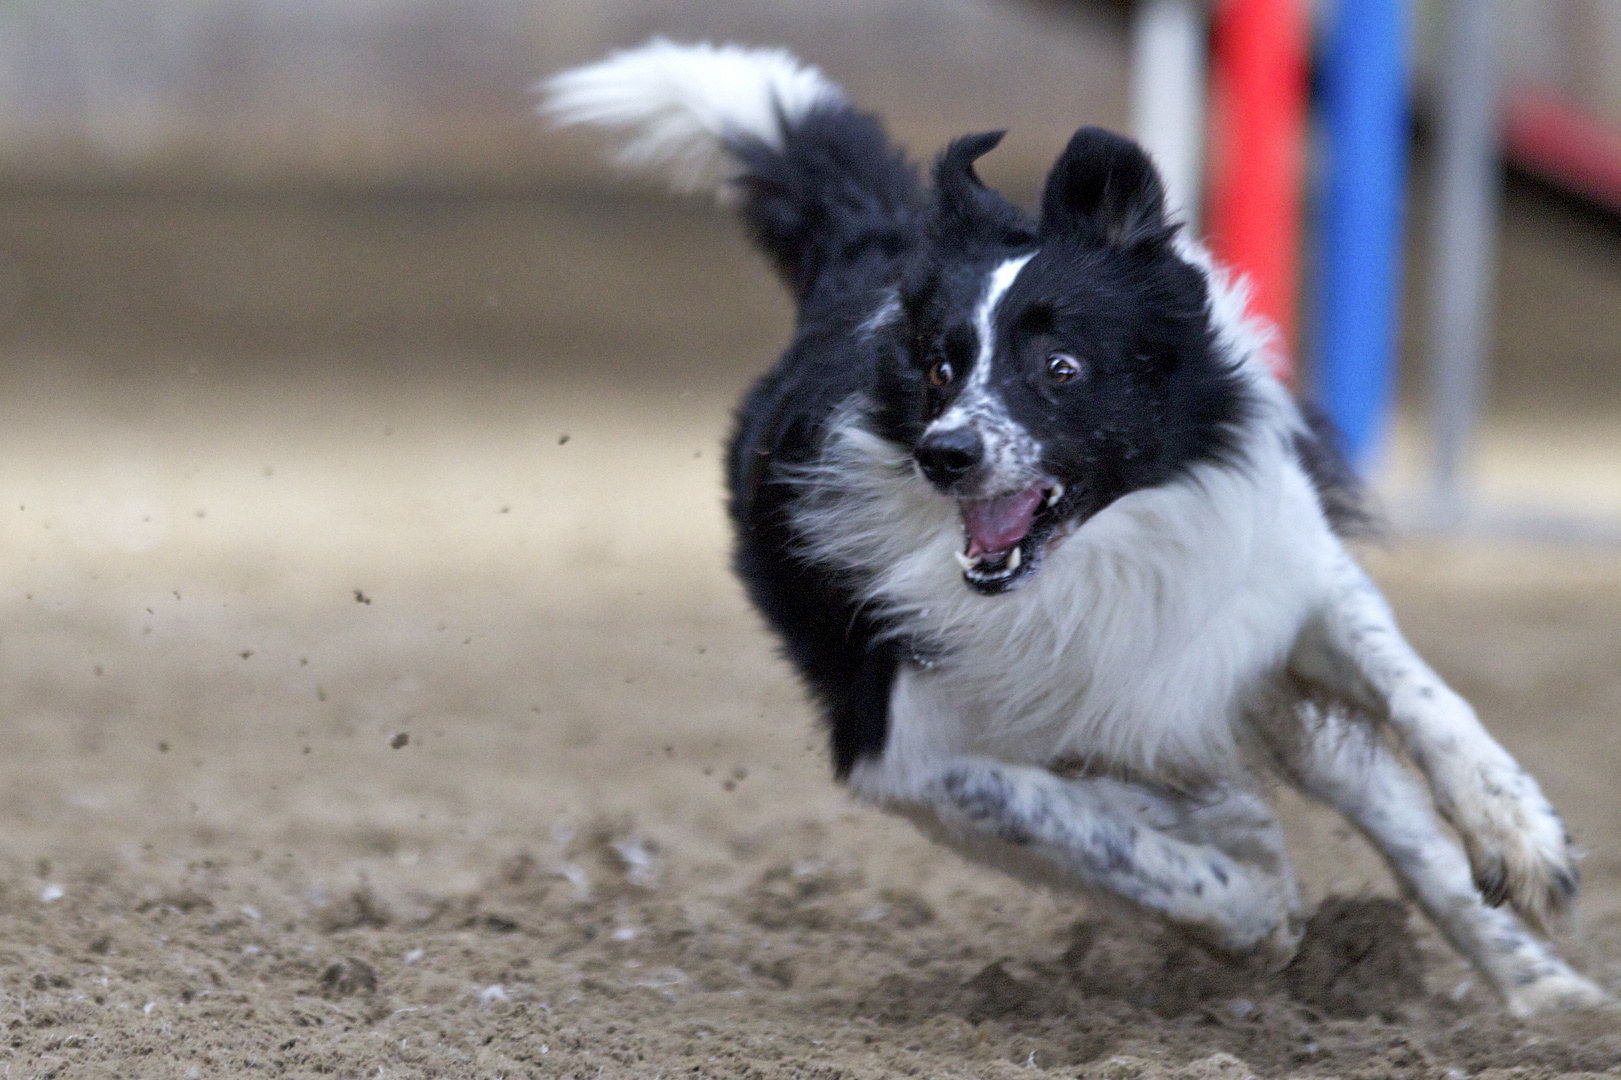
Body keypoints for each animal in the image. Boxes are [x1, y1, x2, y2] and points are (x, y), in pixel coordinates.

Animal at [541, 39, 1595, 1011]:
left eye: (1060, 368)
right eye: (938, 366)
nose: (944, 455)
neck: (1095, 559)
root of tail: (873, 249)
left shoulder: (1278, 585)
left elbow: (1423, 697)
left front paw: (1521, 836)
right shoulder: (900, 748)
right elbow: (1098, 832)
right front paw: (1249, 901)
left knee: (1396, 821)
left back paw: (1543, 991)